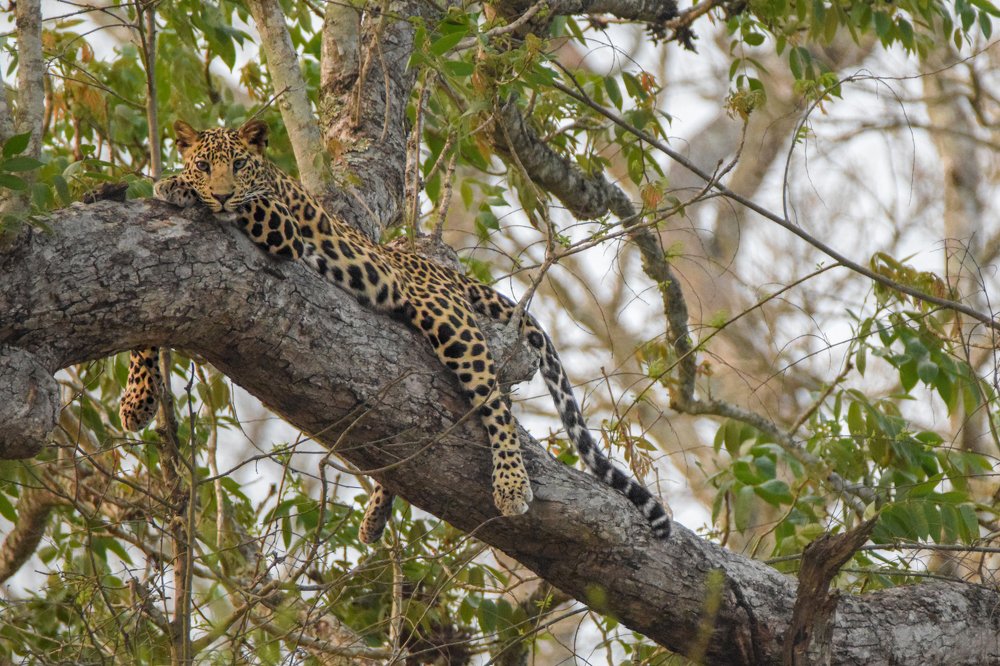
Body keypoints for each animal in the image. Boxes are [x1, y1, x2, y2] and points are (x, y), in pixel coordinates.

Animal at [120, 119, 672, 543]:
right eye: (205, 164)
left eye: (237, 165)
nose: (218, 191)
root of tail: (438, 269)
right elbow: (145, 326)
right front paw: (137, 400)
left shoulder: (280, 225)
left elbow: (241, 206)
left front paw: (174, 185)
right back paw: (376, 514)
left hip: (448, 322)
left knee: (496, 404)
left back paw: (511, 485)